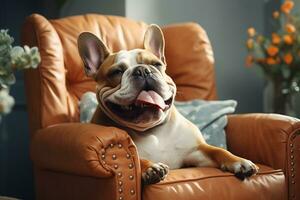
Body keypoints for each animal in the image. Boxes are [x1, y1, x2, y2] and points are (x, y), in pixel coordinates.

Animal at [77, 24, 258, 185]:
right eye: (117, 72)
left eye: (156, 64)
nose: (142, 70)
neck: (152, 130)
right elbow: (137, 159)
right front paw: (150, 168)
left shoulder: (196, 151)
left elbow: (218, 150)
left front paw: (239, 161)